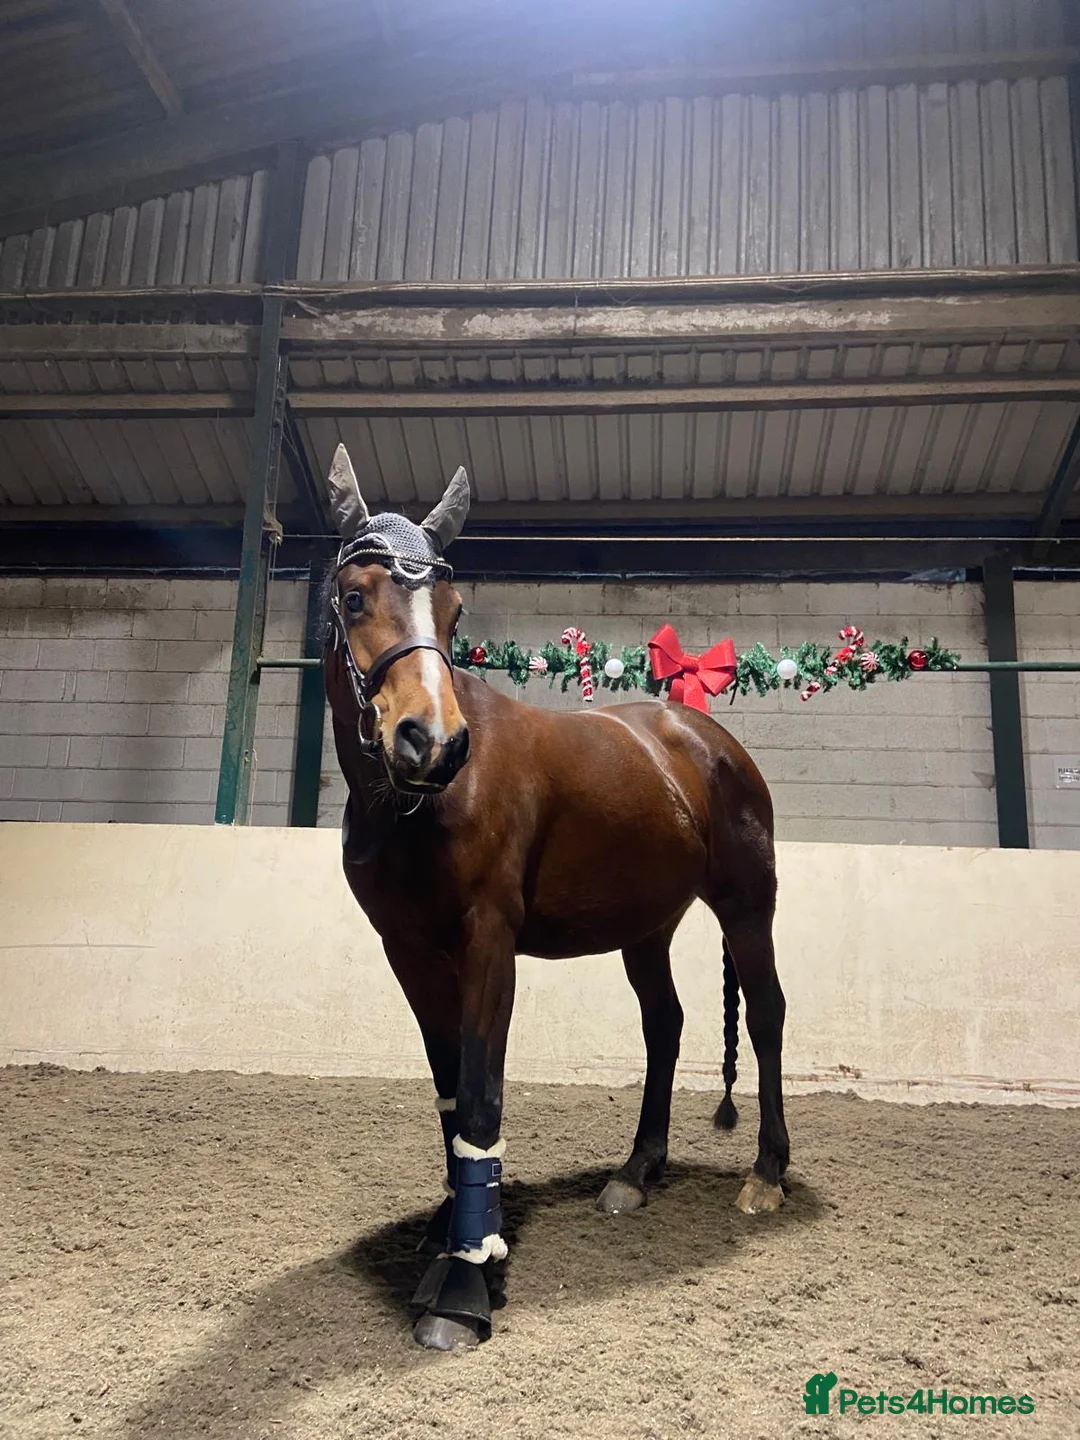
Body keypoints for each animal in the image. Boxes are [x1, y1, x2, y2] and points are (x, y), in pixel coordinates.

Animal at [321, 443, 789, 1352]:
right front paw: (451, 1232)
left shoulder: (488, 942)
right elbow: (448, 1089)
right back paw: (636, 1171)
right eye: (355, 596)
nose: (433, 742)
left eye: (455, 611)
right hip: (647, 928)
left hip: (748, 906)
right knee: (666, 1025)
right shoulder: (409, 951)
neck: (418, 807)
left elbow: (481, 1092)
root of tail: (701, 737)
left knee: (765, 1015)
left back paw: (768, 1174)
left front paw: (464, 1283)